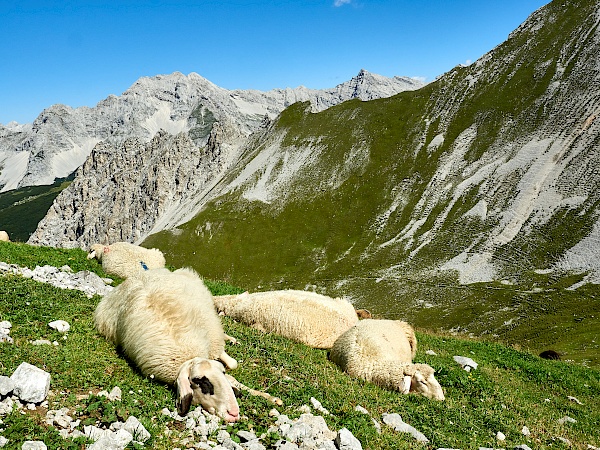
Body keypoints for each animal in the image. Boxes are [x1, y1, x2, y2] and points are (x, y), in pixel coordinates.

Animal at [94, 266, 241, 420]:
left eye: (222, 373)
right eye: (199, 381)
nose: (233, 412)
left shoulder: (213, 336)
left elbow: (233, 363)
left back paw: (231, 339)